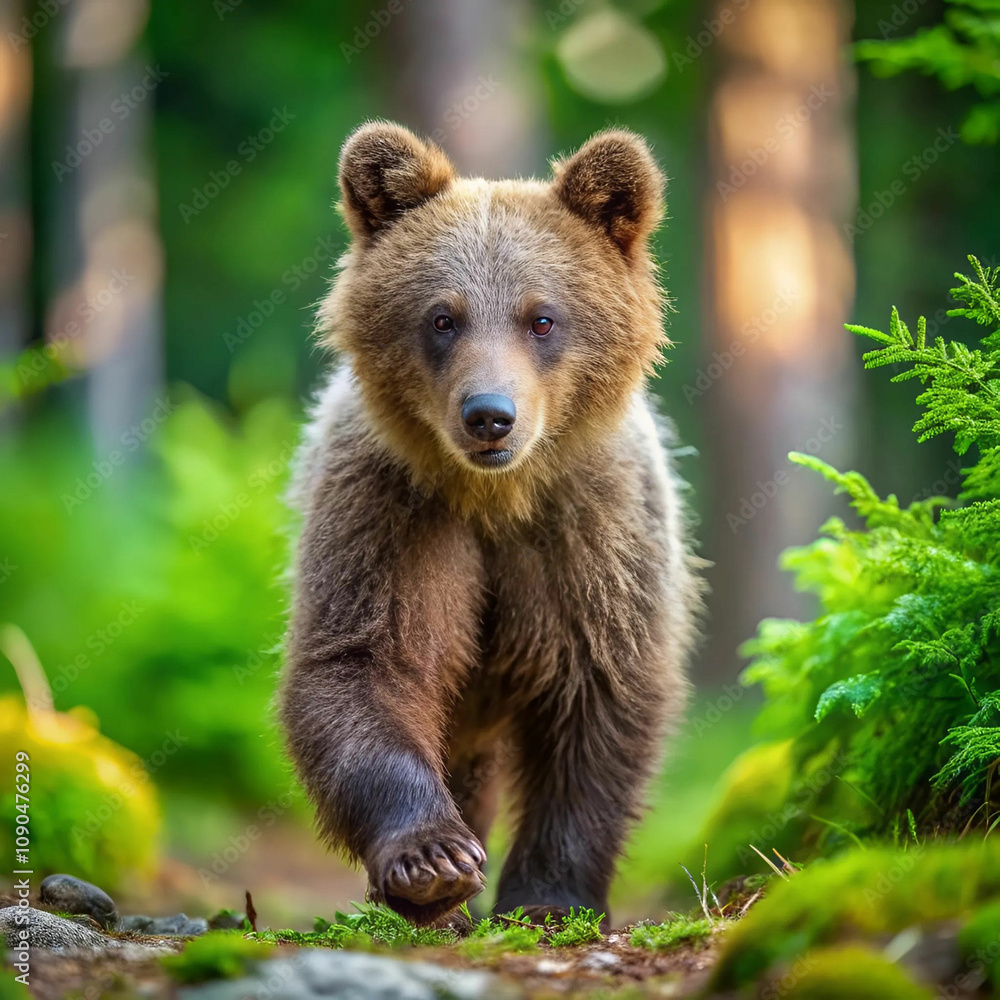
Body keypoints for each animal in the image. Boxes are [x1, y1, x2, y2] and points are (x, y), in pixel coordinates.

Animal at [280, 121, 701, 928]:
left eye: (542, 317)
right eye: (443, 317)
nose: (489, 415)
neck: (495, 498)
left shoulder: (592, 533)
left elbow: (599, 693)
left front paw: (549, 894)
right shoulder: (390, 515)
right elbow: (363, 662)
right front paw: (432, 860)